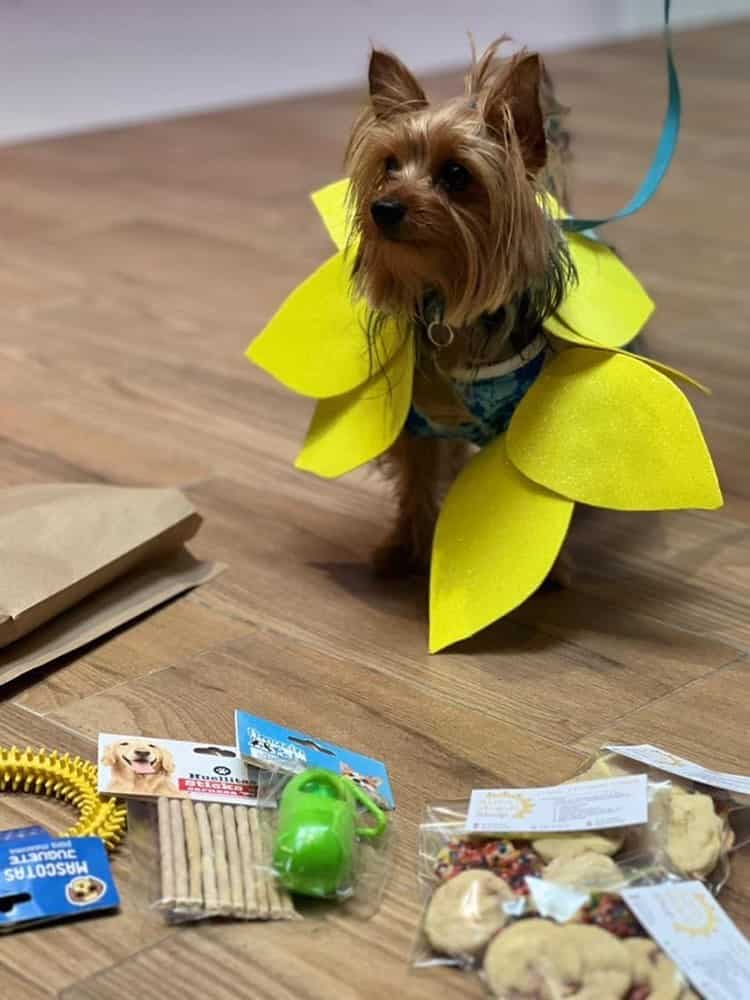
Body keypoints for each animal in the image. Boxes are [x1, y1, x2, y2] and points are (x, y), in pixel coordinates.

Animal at [346, 39, 576, 580]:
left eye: (456, 174)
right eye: (389, 165)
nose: (383, 208)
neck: (446, 293)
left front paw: (548, 568)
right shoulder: (419, 419)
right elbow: (415, 479)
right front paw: (402, 547)